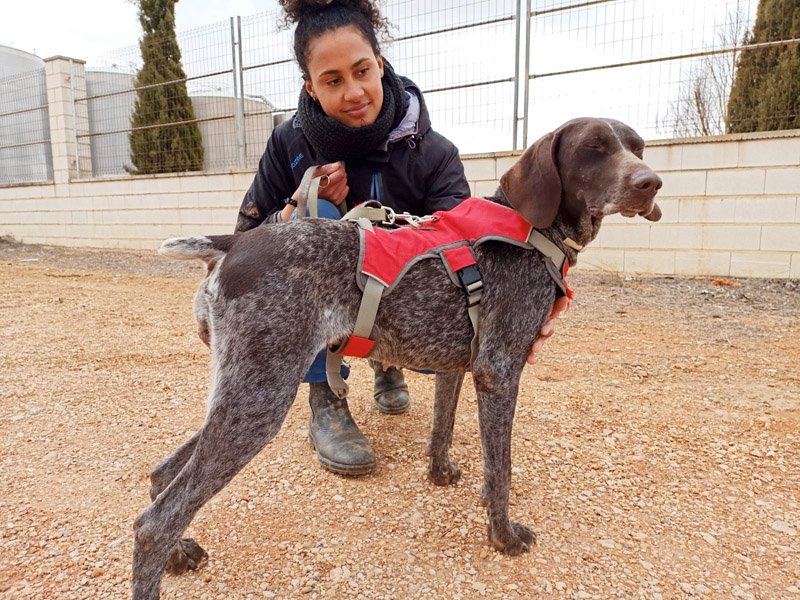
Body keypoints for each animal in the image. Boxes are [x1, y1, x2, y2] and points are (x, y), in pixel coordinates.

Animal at [132, 117, 662, 599]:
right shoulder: (499, 371)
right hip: (260, 397)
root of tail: (234, 242)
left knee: (161, 475)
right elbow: (501, 470)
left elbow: (443, 428)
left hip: (243, 389)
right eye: (593, 149)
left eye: (637, 147)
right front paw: (504, 537)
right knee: (155, 522)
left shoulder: (461, 367)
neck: (535, 231)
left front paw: (441, 474)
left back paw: (182, 553)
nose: (650, 183)